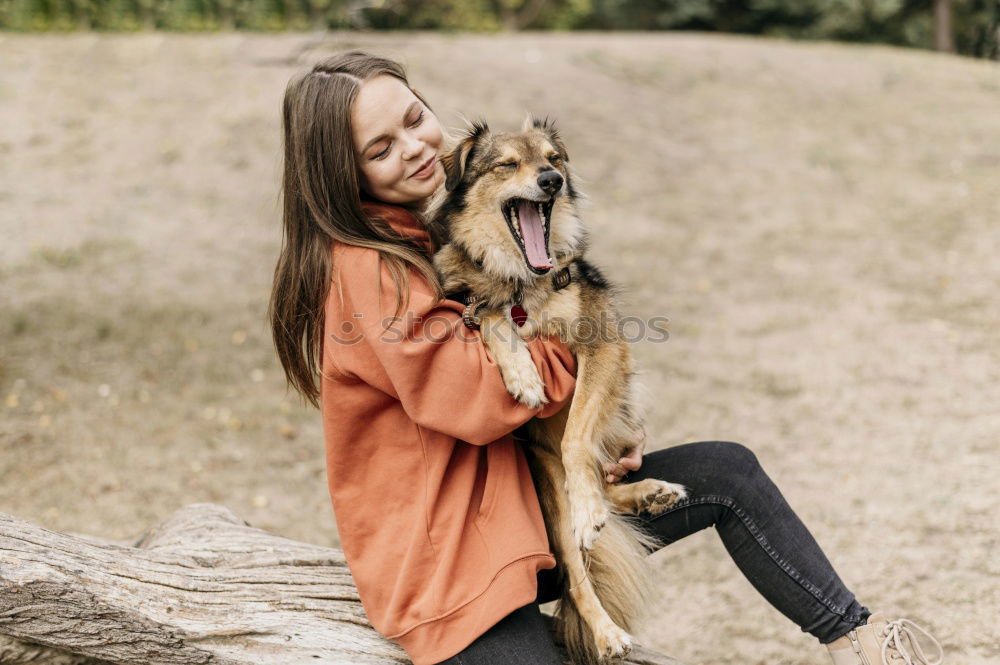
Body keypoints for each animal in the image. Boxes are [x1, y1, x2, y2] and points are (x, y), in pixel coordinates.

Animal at [430, 116, 688, 660]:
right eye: (507, 164)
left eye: (553, 159)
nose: (551, 181)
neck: (523, 280)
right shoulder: (472, 307)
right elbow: (491, 316)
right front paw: (524, 375)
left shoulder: (603, 346)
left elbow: (576, 439)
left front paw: (591, 508)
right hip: (546, 487)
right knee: (576, 577)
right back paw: (608, 634)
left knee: (598, 483)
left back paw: (645, 495)